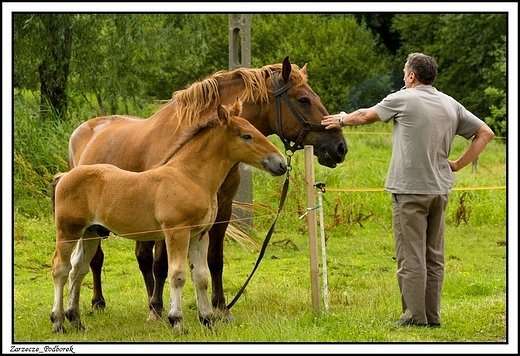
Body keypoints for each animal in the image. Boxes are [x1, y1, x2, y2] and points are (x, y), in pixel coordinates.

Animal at [68, 57, 346, 322]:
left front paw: (221, 308)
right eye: (304, 100)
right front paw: (158, 310)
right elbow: (161, 264)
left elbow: (214, 260)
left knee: (140, 257)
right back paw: (103, 302)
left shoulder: (221, 211)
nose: (340, 147)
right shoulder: (168, 219)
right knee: (99, 260)